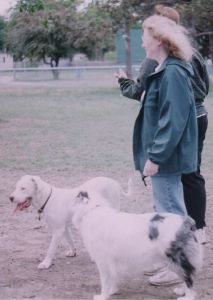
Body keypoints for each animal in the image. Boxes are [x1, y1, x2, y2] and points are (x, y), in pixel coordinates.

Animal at [71, 192, 203, 300]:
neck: (91, 210)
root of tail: (187, 222)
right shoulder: (111, 260)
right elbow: (112, 277)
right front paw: (112, 291)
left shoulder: (103, 260)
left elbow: (105, 280)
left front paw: (103, 296)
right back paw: (181, 291)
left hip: (176, 257)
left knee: (188, 278)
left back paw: (187, 297)